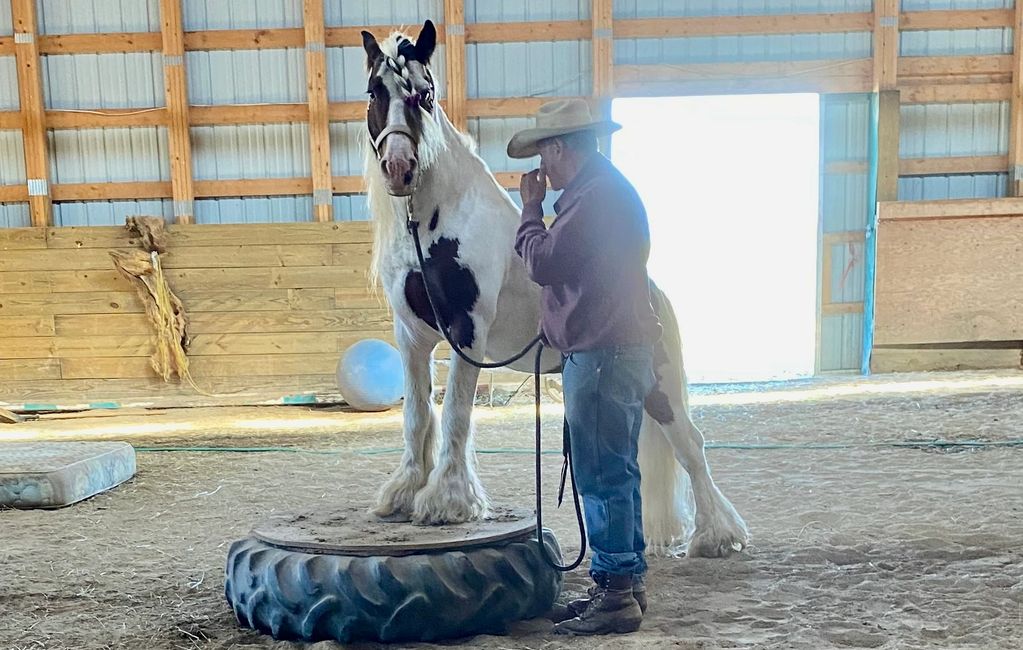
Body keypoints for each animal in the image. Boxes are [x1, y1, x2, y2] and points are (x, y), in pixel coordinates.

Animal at [359, 21, 749, 558]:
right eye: (375, 91)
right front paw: (402, 493)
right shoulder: (411, 335)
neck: (440, 219)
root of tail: (652, 288)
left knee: (690, 444)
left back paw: (717, 536)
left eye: (425, 94)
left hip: (660, 381)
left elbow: (456, 412)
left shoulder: (467, 332)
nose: (400, 168)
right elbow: (418, 415)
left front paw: (448, 501)